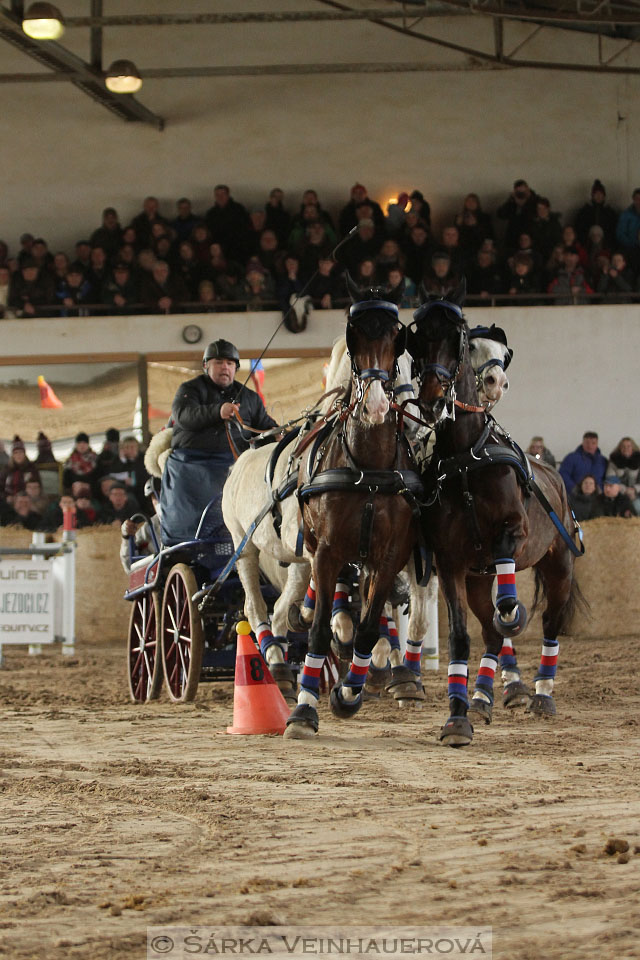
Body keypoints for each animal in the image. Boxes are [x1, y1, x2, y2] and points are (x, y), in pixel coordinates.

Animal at [404, 282, 584, 748]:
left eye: (458, 338)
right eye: (418, 338)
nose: (432, 397)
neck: (468, 458)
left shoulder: (513, 531)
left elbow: (508, 603)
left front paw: (514, 615)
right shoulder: (452, 563)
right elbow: (462, 638)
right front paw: (457, 718)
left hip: (559, 564)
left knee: (549, 622)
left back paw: (541, 693)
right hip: (475, 578)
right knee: (487, 630)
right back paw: (482, 698)